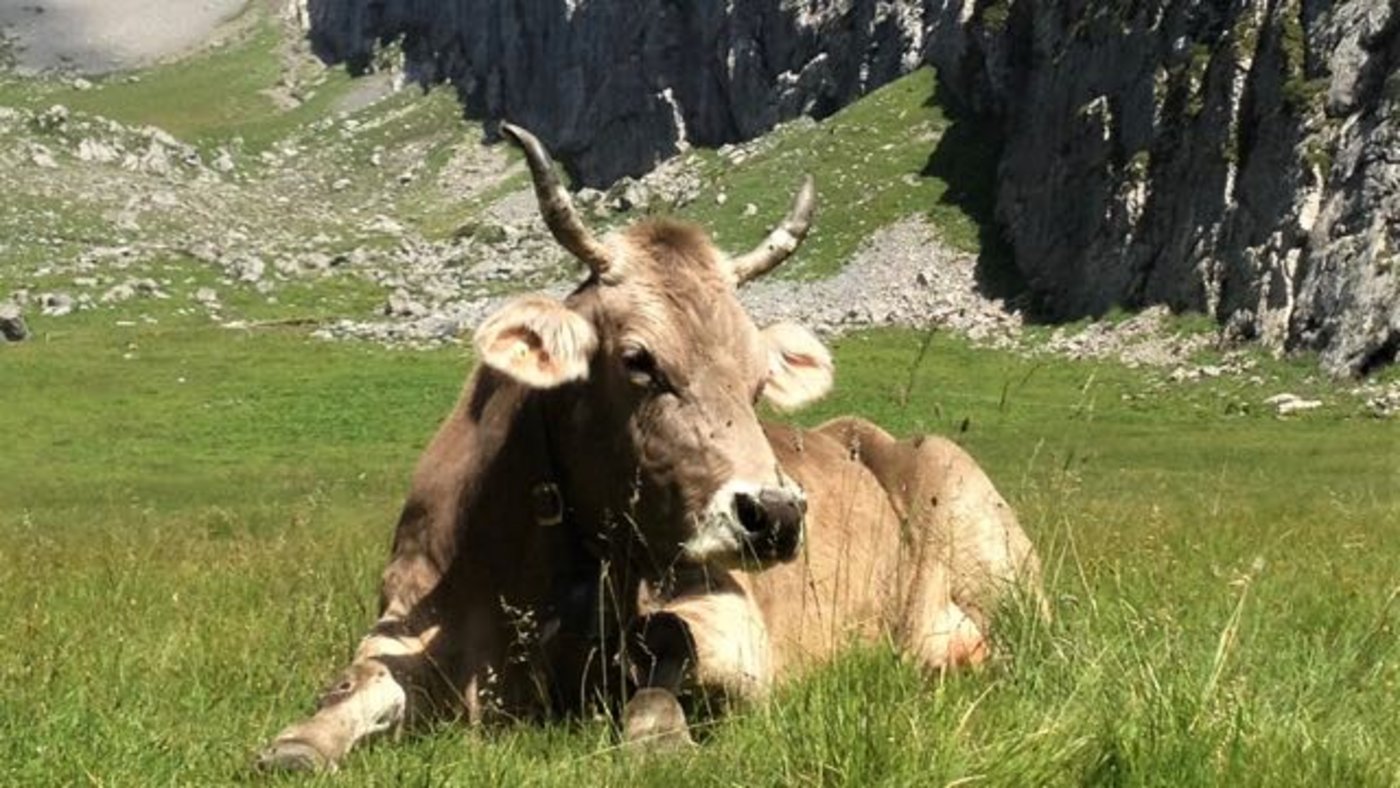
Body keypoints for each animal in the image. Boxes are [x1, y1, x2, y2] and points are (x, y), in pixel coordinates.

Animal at [256, 124, 1046, 771]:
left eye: (758, 380)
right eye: (639, 361)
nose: (777, 514)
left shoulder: (732, 626)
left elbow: (664, 673)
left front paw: (661, 737)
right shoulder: (407, 617)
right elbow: (360, 682)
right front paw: (300, 742)